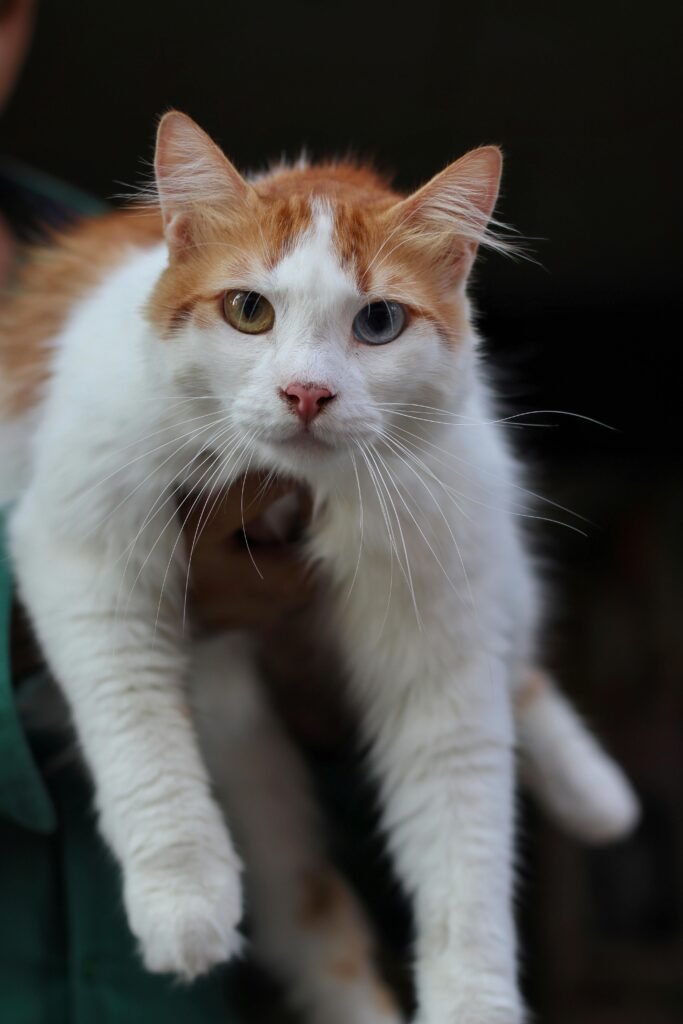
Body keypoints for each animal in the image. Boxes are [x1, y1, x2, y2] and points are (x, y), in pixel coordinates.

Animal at [1, 112, 643, 1024]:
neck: (292, 491)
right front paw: (182, 901)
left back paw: (597, 797)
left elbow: (466, 870)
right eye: (248, 311)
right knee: (312, 920)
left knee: (515, 671)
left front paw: (474, 1005)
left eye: (377, 323)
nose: (306, 394)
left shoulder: (439, 670)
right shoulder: (82, 549)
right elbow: (142, 736)